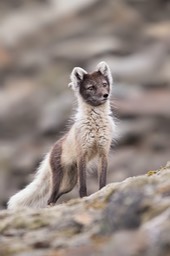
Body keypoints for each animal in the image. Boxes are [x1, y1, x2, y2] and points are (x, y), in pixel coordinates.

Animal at [7, 62, 117, 210]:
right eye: (91, 87)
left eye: (104, 84)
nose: (106, 95)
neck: (96, 124)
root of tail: (52, 149)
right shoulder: (82, 154)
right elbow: (83, 186)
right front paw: (83, 199)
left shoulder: (103, 152)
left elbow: (103, 182)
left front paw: (102, 192)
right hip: (60, 179)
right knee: (50, 198)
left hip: (68, 184)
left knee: (55, 197)